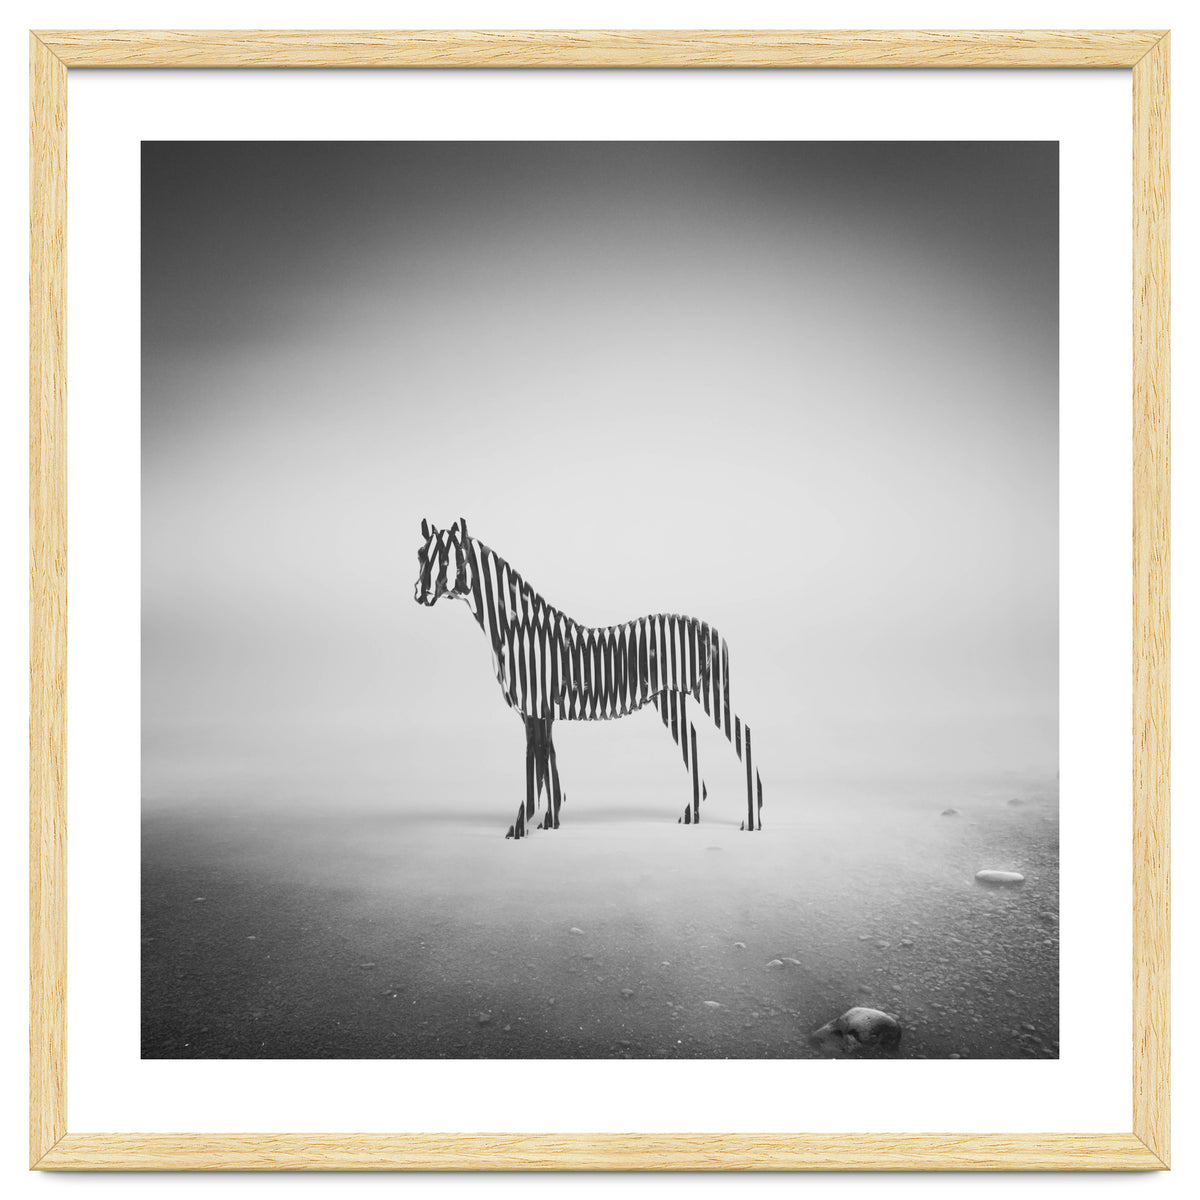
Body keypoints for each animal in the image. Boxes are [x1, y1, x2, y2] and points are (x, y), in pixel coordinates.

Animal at [414, 518, 764, 840]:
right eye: (420, 554)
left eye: (446, 560)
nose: (419, 593)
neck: (520, 631)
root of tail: (714, 631)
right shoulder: (541, 712)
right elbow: (549, 766)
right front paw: (550, 822)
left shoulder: (534, 709)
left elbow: (535, 769)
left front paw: (520, 826)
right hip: (670, 698)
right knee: (692, 740)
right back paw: (692, 814)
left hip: (709, 692)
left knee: (742, 734)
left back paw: (751, 818)